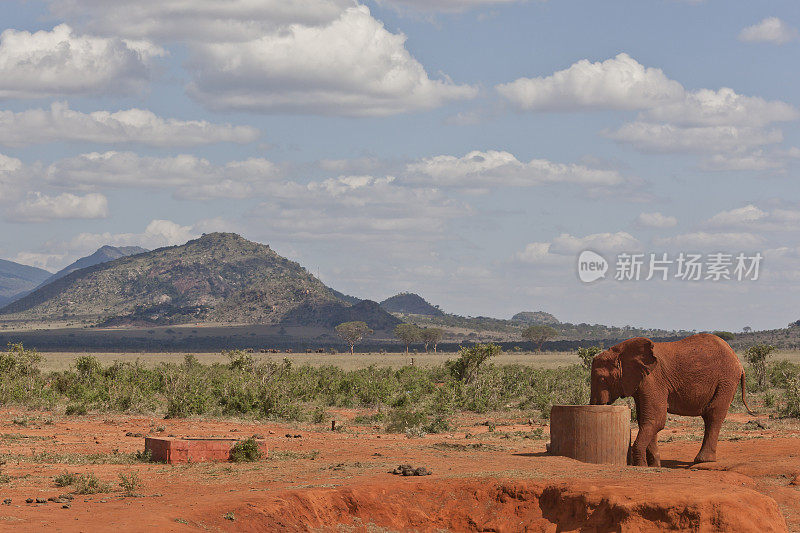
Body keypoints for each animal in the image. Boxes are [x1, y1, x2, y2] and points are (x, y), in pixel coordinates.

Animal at [588, 332, 756, 466]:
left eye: (602, 379)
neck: (621, 352)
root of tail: (738, 361)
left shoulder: (653, 380)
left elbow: (656, 419)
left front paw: (642, 466)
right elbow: (646, 420)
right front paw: (655, 465)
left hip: (726, 380)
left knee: (714, 414)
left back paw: (702, 461)